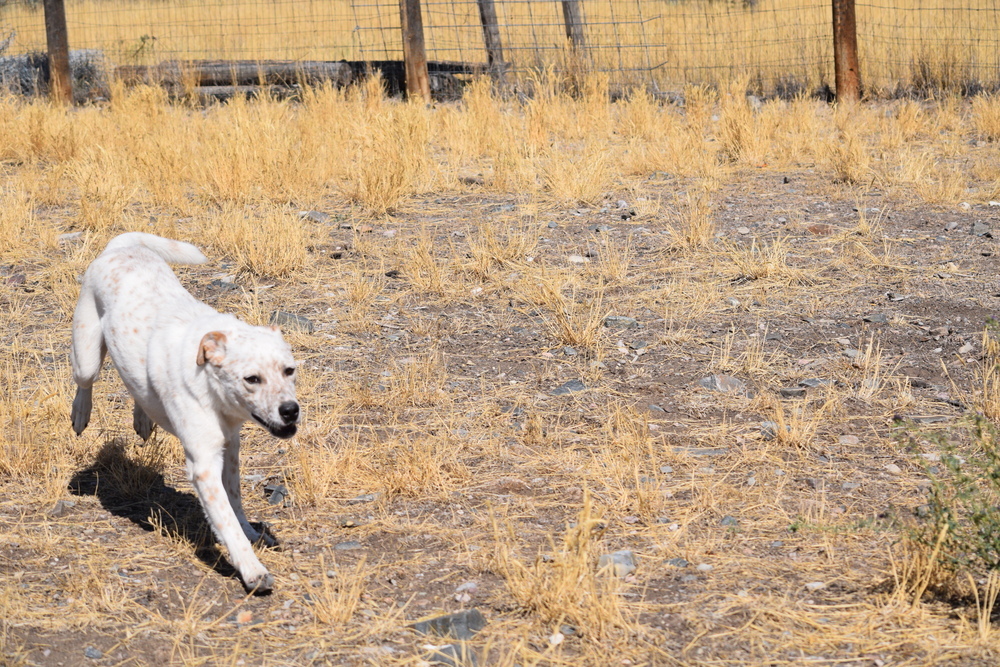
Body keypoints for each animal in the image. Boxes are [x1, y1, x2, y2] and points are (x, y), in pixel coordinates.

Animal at [70, 232, 298, 592]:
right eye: (252, 379)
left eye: (289, 370)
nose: (290, 411)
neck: (213, 391)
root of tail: (121, 245)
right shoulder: (204, 464)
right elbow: (227, 523)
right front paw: (251, 569)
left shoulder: (230, 448)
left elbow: (235, 502)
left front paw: (250, 531)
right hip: (87, 356)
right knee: (84, 382)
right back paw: (81, 412)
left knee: (138, 389)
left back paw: (143, 418)